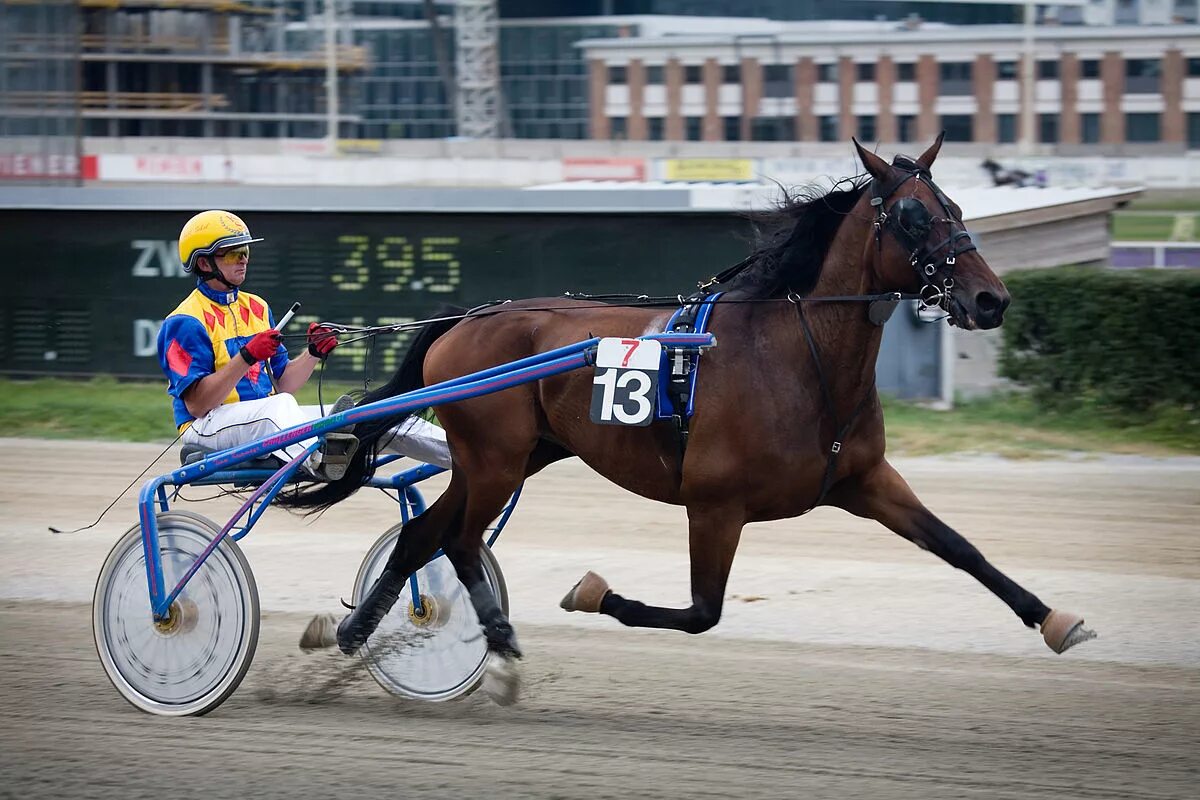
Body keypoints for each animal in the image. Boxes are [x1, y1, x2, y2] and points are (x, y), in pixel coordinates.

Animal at [283, 136, 1099, 695]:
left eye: (954, 209)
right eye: (908, 217)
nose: (991, 299)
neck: (795, 356)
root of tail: (466, 318)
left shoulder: (864, 480)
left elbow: (961, 548)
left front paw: (1057, 621)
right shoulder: (715, 504)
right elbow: (703, 611)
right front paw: (591, 591)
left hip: (515, 455)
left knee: (427, 534)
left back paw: (368, 632)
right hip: (494, 457)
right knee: (451, 538)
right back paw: (468, 641)